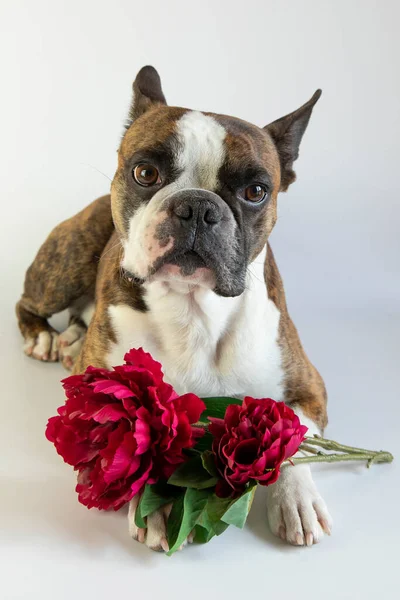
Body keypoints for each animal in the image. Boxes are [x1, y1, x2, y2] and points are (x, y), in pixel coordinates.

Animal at [16, 64, 332, 548]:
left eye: (256, 191)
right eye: (145, 172)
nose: (197, 207)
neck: (193, 308)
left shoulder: (308, 389)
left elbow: (292, 435)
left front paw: (296, 498)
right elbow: (143, 434)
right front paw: (158, 497)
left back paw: (70, 340)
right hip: (67, 261)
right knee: (31, 304)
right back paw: (47, 338)